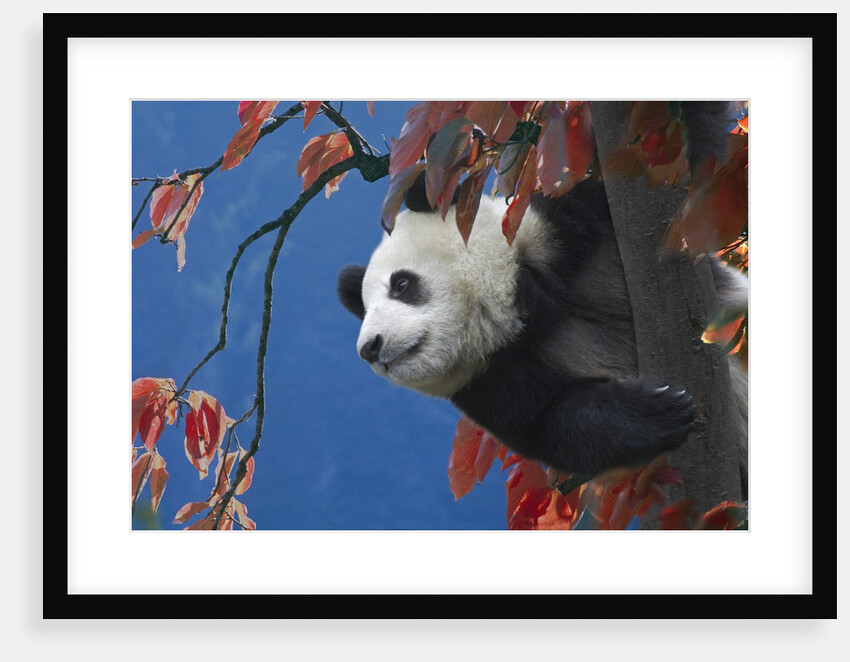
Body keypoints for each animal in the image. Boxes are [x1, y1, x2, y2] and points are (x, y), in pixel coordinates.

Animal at [337, 101, 748, 485]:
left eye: (402, 284)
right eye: (367, 308)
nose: (370, 347)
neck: (521, 311)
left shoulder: (570, 234)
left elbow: (681, 165)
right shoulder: (489, 378)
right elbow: (554, 423)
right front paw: (660, 410)